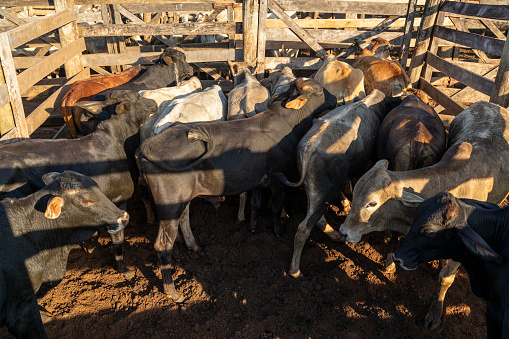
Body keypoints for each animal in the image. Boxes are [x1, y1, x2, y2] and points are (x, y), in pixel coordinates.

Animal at [0, 89, 157, 278]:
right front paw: (123, 269)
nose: (154, 103)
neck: (116, 142)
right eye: (138, 97)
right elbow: (118, 238)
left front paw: (89, 245)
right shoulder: (119, 200)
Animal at [136, 78, 338, 302]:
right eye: (319, 90)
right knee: (163, 244)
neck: (287, 123)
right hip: (169, 205)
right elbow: (276, 207)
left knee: (181, 222)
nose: (335, 98)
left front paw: (253, 227)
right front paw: (278, 231)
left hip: (178, 202)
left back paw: (192, 247)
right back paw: (172, 291)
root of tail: (149, 143)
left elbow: (255, 203)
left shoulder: (257, 179)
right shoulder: (278, 178)